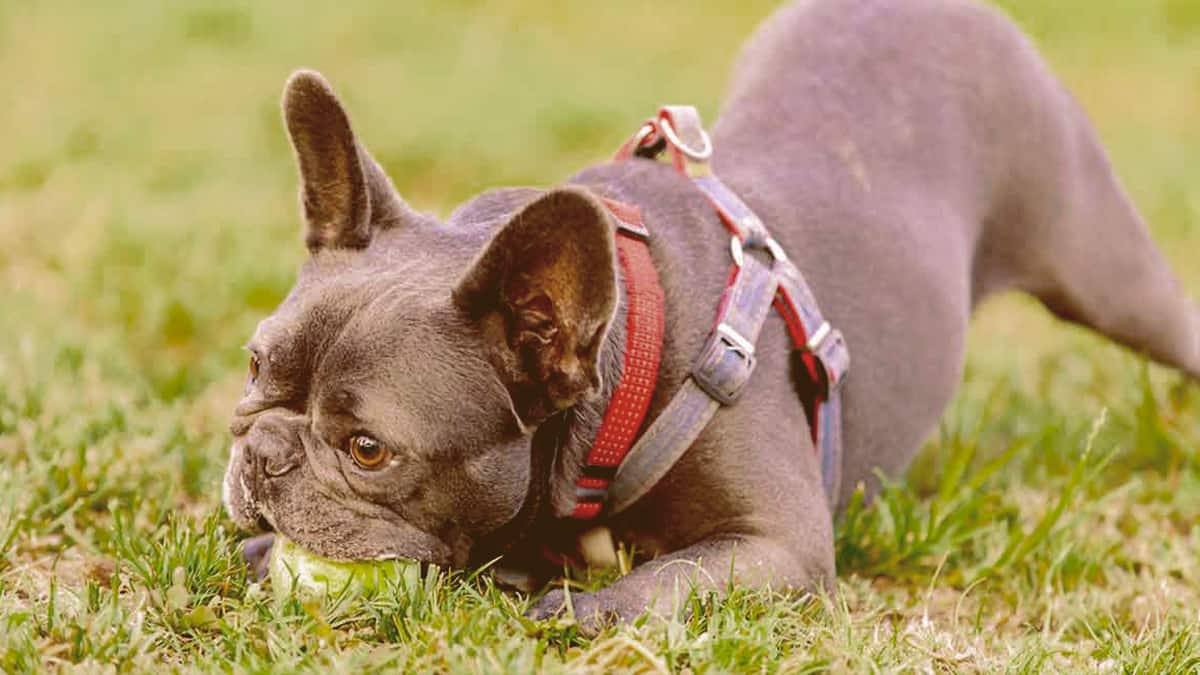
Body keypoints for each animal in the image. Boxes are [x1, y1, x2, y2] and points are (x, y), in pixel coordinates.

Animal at [220, 0, 1195, 624]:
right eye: (255, 369)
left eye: (367, 449)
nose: (262, 452)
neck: (624, 371)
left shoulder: (777, 546)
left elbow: (661, 583)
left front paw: (573, 610)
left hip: (1103, 265)